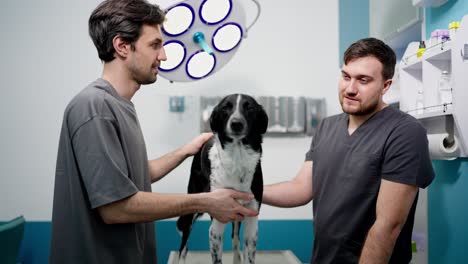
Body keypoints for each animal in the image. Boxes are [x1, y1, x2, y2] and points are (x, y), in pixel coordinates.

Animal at [177, 94, 268, 262]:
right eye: (226, 107)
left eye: (250, 108)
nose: (236, 123)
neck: (237, 157)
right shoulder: (217, 222)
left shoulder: (252, 219)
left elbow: (248, 254)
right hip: (192, 205)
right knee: (183, 248)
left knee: (235, 241)